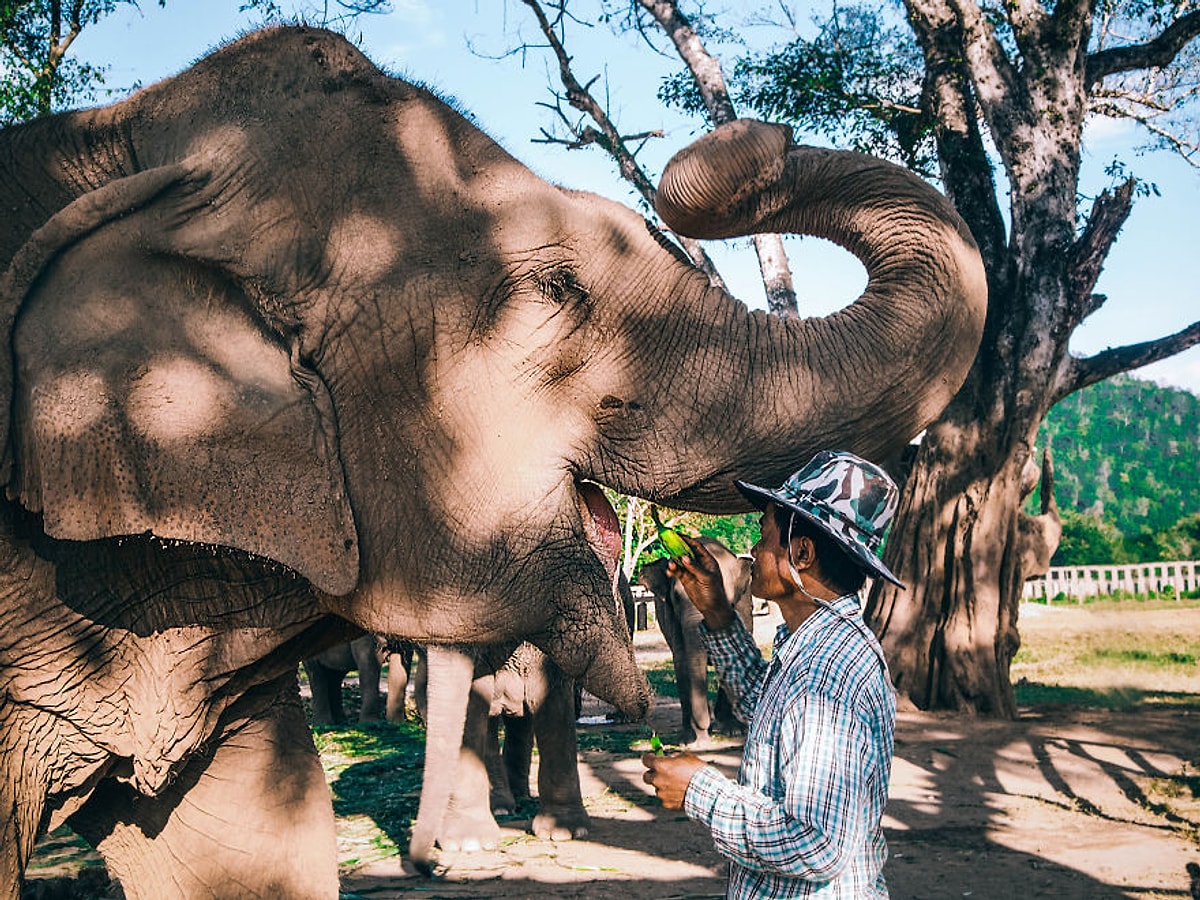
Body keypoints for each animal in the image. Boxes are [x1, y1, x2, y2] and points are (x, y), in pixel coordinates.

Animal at [638, 542, 748, 748]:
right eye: (676, 598)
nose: (705, 725)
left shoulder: (743, 603)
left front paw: (734, 730)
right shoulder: (670, 614)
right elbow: (681, 661)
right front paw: (691, 740)